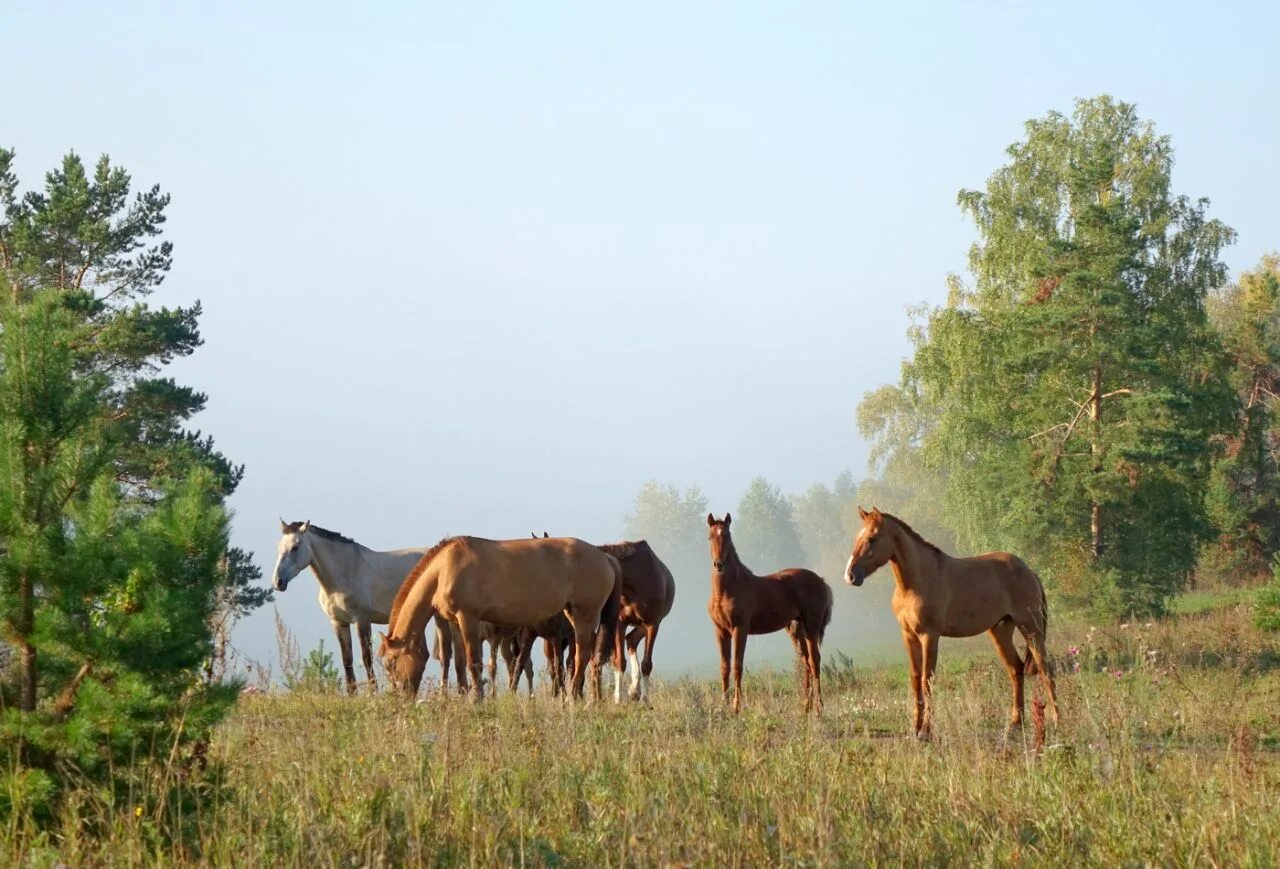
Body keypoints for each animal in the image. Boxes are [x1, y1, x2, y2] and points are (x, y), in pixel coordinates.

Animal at [267, 519, 458, 696]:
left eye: (295, 547)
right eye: (278, 547)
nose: (278, 582)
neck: (345, 573)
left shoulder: (362, 621)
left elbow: (367, 659)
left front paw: (373, 694)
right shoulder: (339, 623)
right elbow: (347, 660)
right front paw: (352, 694)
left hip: (439, 617)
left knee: (445, 655)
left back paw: (442, 694)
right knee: (422, 655)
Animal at [376, 534, 622, 701]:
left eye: (390, 663)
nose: (399, 699)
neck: (445, 568)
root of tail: (605, 557)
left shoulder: (468, 619)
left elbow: (474, 662)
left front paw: (477, 699)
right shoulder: (455, 623)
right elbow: (460, 662)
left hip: (584, 616)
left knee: (582, 656)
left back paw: (573, 696)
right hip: (574, 615)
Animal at [706, 509, 834, 711]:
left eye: (727, 536)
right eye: (710, 536)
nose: (719, 564)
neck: (728, 589)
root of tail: (820, 580)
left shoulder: (740, 629)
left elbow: (737, 666)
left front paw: (736, 707)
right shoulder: (720, 631)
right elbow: (724, 667)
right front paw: (723, 705)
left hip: (811, 627)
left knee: (815, 660)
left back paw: (819, 706)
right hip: (797, 629)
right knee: (805, 661)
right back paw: (805, 705)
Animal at [844, 509, 1064, 742]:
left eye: (872, 538)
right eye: (858, 536)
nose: (851, 575)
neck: (916, 582)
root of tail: (1030, 571)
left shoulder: (930, 635)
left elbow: (927, 679)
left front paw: (926, 731)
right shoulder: (909, 635)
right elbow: (915, 679)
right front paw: (914, 728)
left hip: (1031, 629)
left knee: (1045, 669)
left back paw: (1057, 720)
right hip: (1000, 631)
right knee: (1016, 669)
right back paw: (1015, 724)